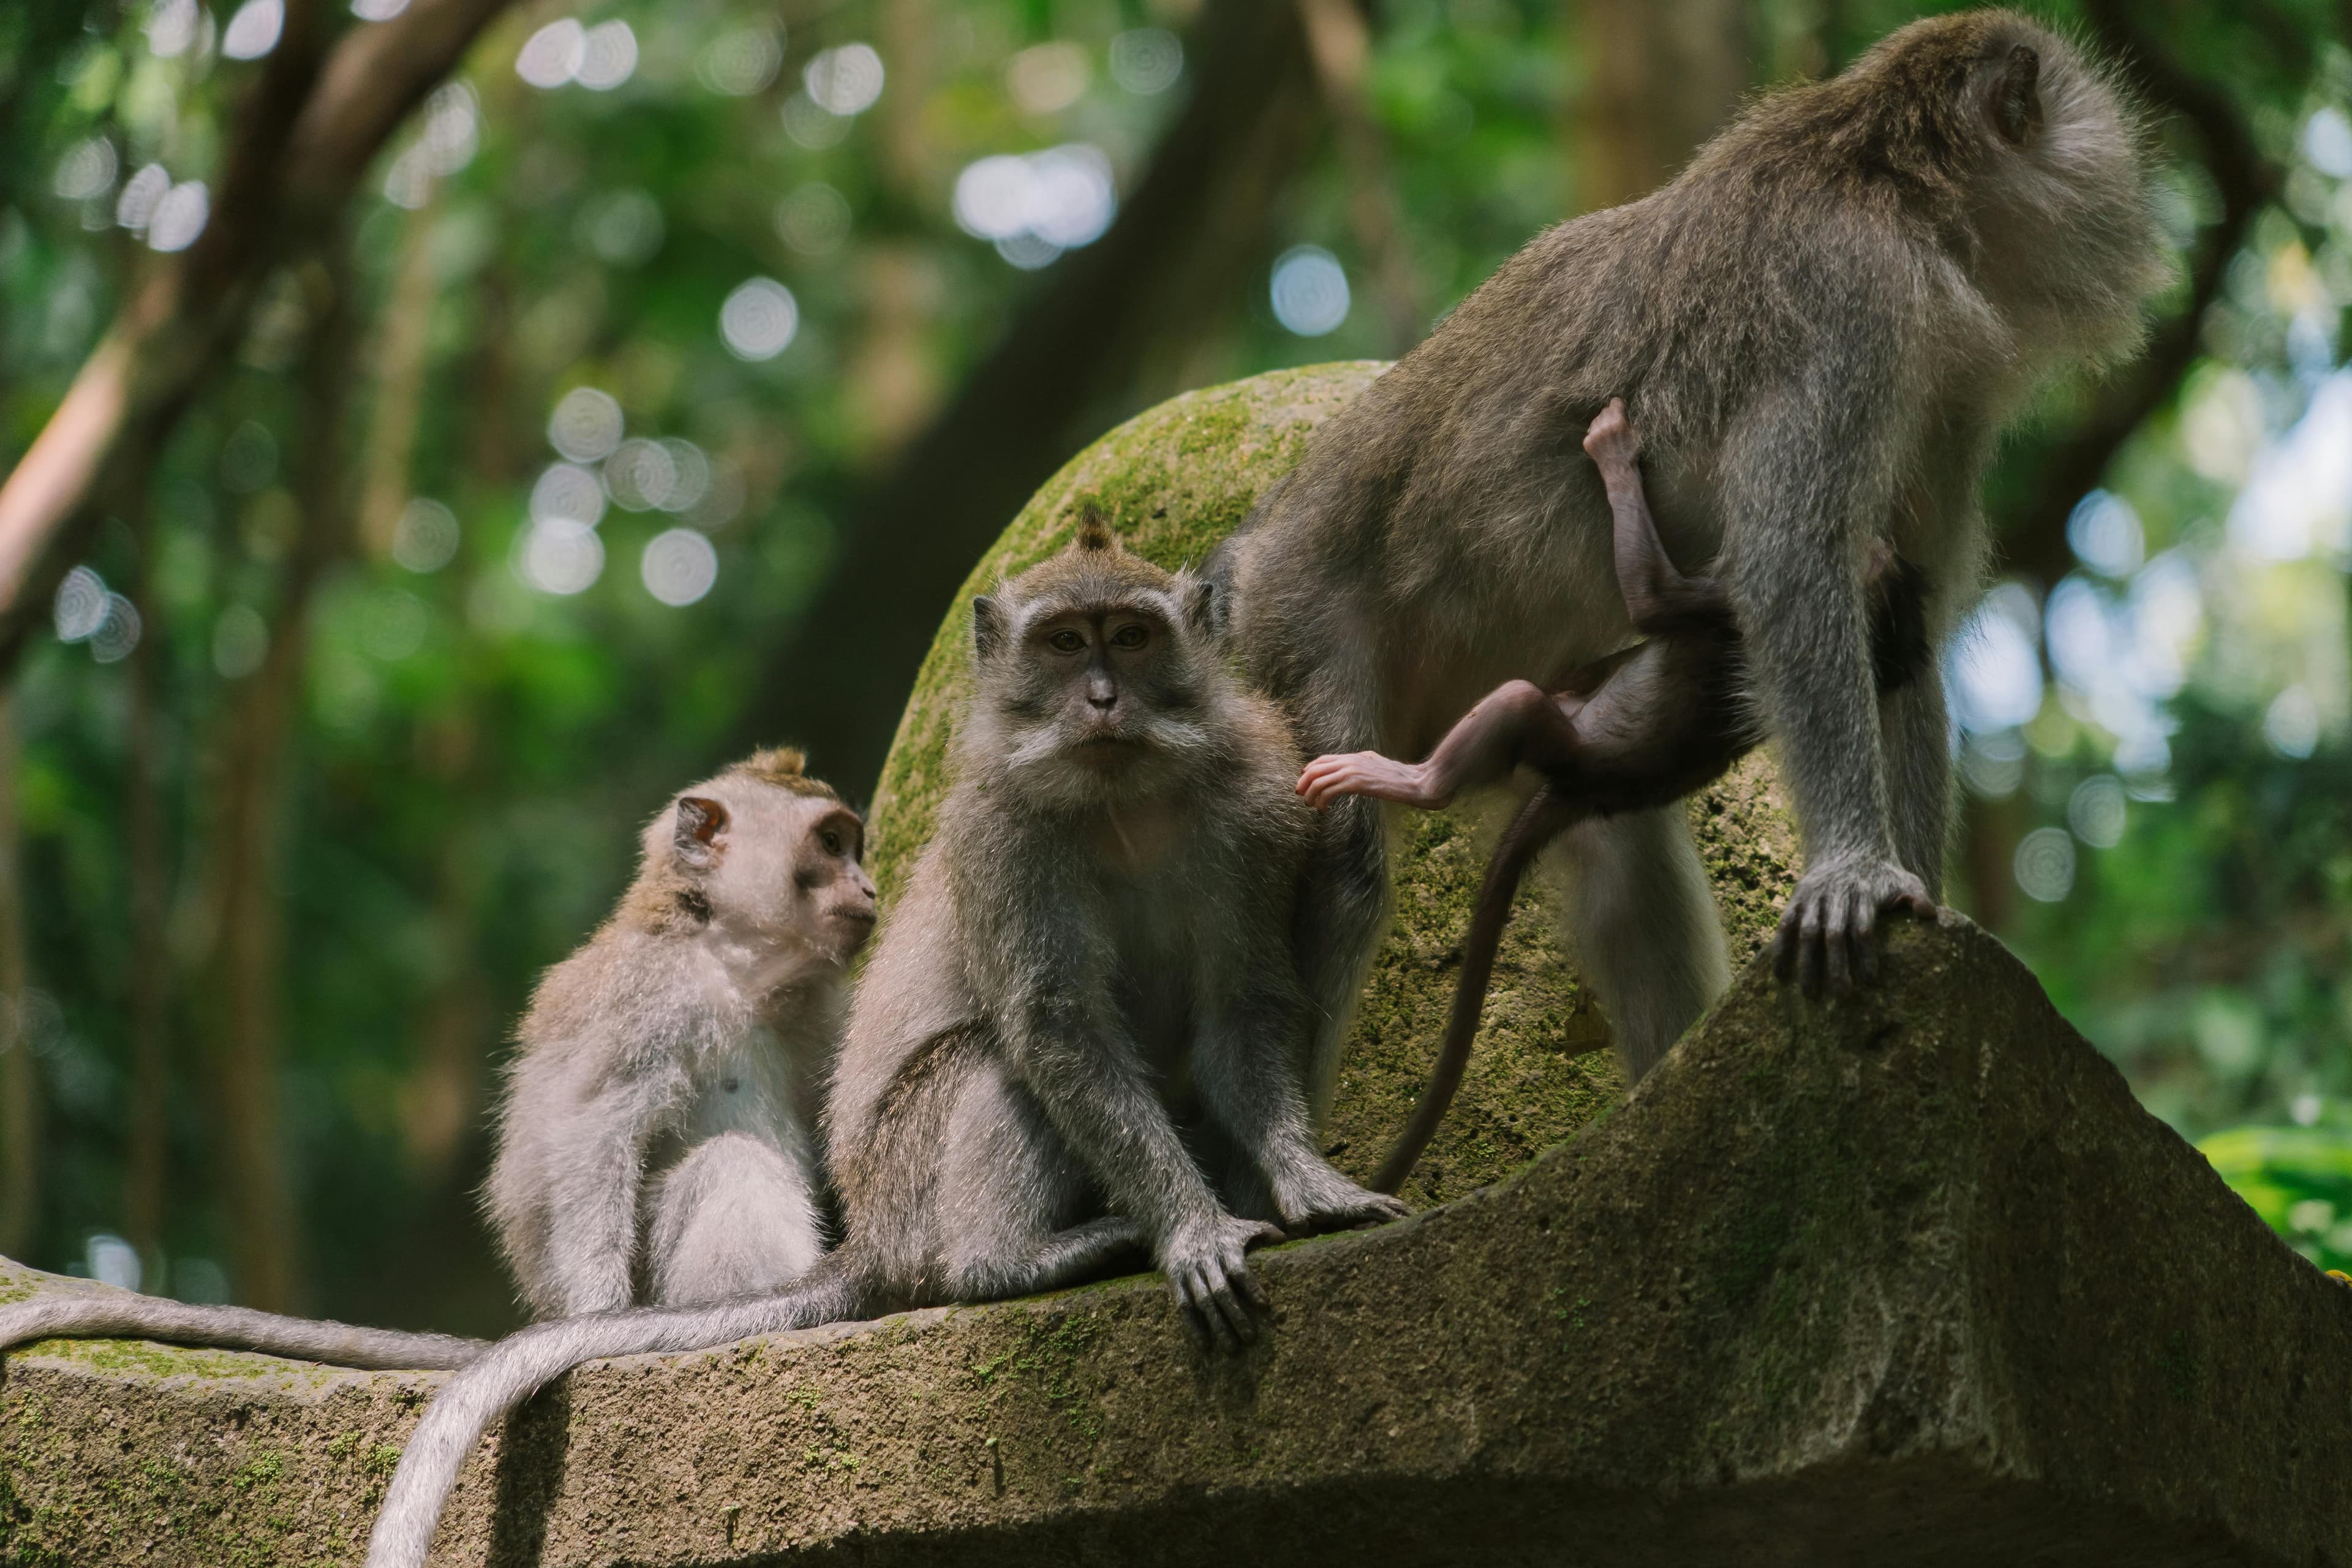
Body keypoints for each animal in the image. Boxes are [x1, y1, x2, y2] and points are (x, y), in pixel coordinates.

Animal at [0, 749, 874, 1369]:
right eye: (830, 843)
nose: (868, 886)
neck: (738, 965)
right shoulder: (649, 998)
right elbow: (592, 1133)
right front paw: (601, 1316)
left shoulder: (821, 1007)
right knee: (726, 1163)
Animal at [358, 522, 1408, 1568]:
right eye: (1066, 643)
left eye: (1134, 638)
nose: (1103, 700)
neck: (1123, 795)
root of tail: (873, 1236)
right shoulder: (998, 831)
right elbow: (1054, 1025)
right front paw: (1192, 1229)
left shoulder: (1259, 802)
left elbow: (1243, 1004)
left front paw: (1310, 1184)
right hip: (910, 1184)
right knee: (989, 1059)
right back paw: (1006, 1264)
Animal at [1211, 10, 2164, 1100]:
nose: (2134, 183)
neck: (1896, 192)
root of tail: (1253, 548)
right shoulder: (1852, 302)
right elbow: (1792, 566)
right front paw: (1852, 871)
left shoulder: (1944, 384)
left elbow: (1907, 618)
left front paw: (1920, 898)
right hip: (1300, 617)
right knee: (1348, 863)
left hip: (1508, 718)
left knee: (1614, 854)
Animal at [1294, 400, 1929, 1193]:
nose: (1877, 541)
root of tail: (1584, 794)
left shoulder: (1727, 601)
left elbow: (1652, 602)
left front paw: (1614, 453)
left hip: (1555, 741)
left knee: (1511, 708)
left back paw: (1405, 778)